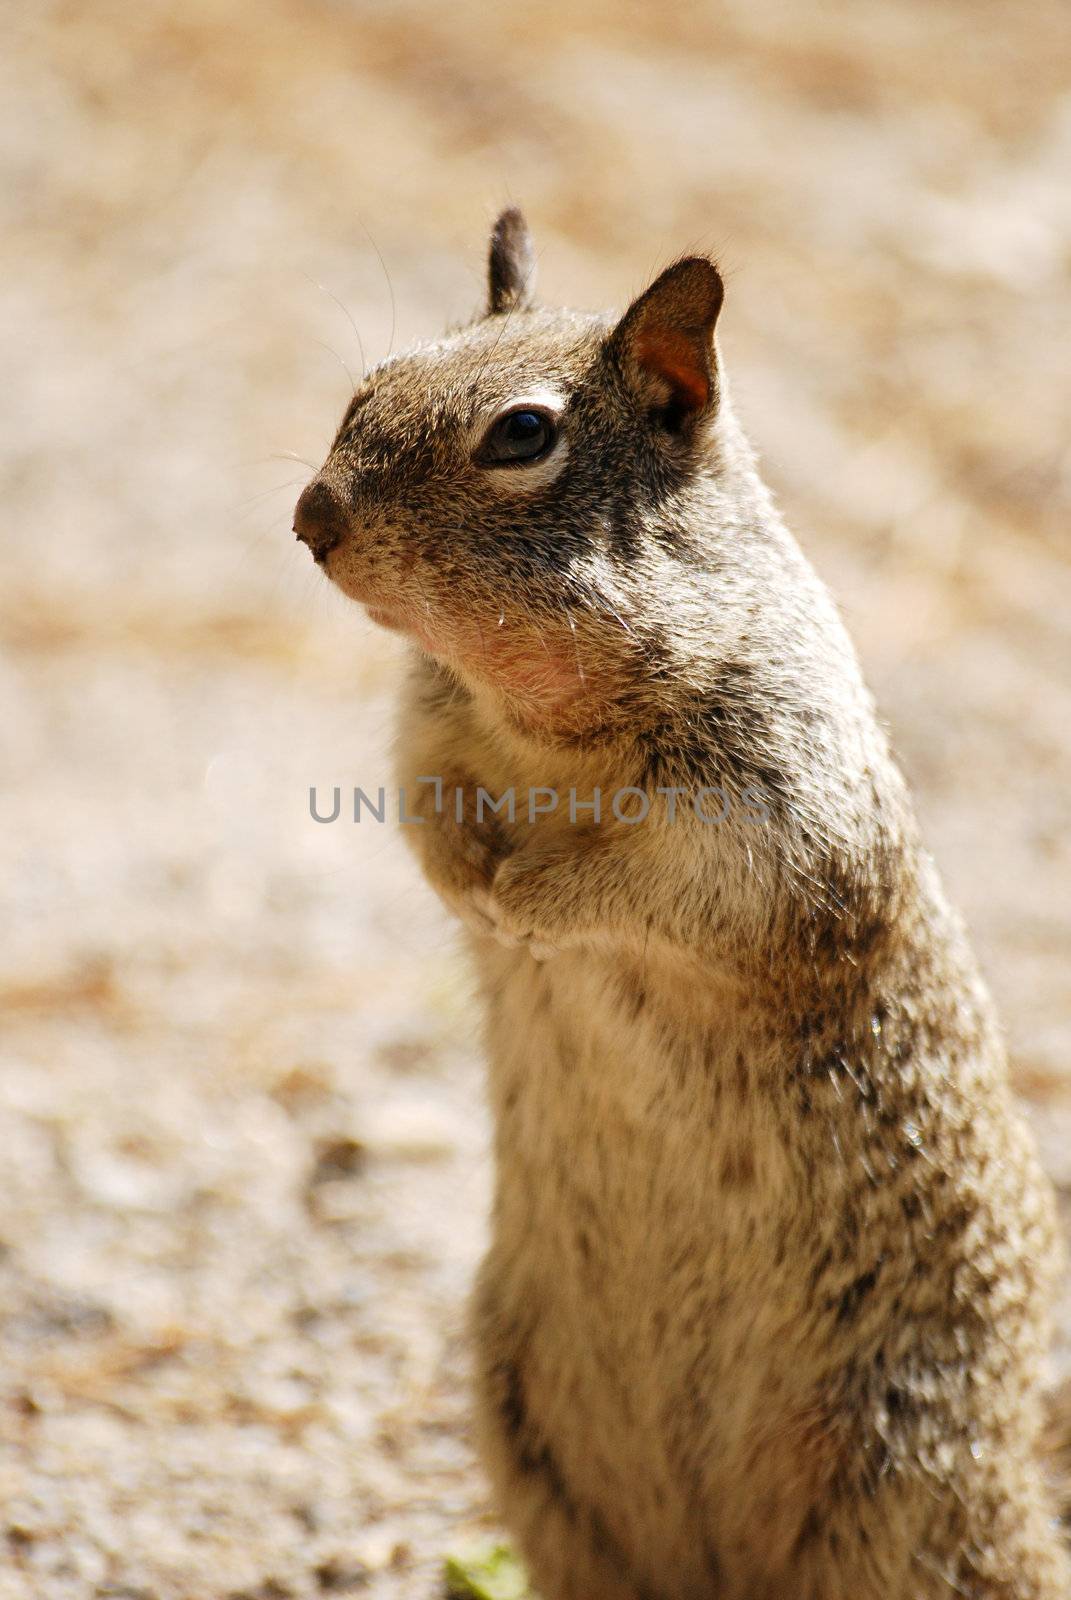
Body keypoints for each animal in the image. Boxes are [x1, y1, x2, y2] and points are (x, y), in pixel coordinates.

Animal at [294, 212, 1069, 1600]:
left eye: (522, 435)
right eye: (367, 385)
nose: (309, 515)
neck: (541, 724)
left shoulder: (775, 808)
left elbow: (660, 883)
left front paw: (532, 898)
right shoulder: (425, 732)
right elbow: (428, 811)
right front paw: (473, 882)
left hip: (905, 1484)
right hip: (530, 1436)